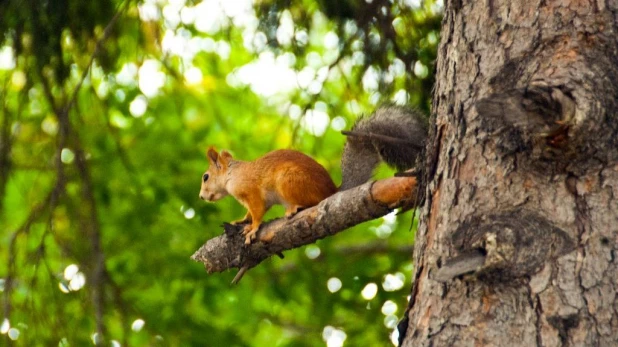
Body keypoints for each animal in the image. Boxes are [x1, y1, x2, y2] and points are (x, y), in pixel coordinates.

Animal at [200, 106, 426, 245]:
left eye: (205, 177)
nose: (201, 197)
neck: (232, 174)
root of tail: (332, 191)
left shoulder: (252, 191)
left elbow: (257, 211)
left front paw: (252, 229)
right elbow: (249, 213)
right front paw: (240, 221)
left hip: (288, 181)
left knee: (313, 202)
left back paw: (294, 208)